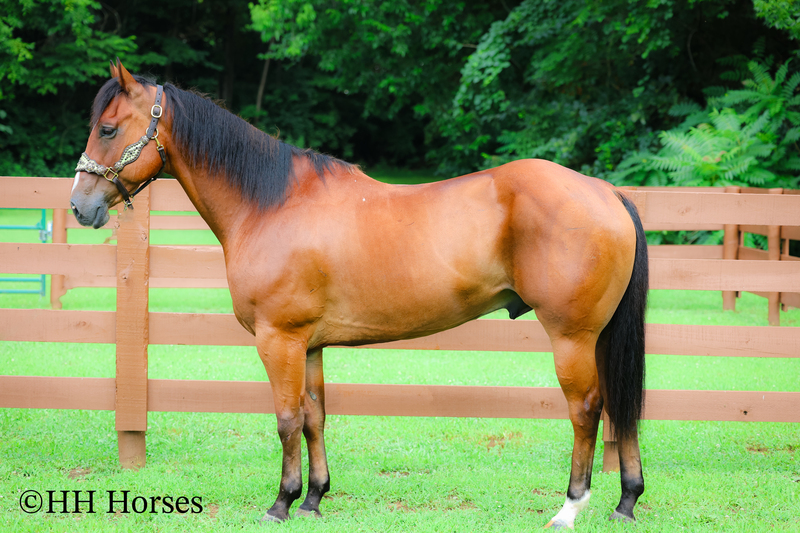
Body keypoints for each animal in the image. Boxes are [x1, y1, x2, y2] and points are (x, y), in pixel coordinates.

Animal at [70, 60, 648, 528]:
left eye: (108, 128)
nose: (79, 206)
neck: (272, 203)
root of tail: (606, 192)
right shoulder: (309, 345)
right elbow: (314, 416)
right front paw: (313, 498)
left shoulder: (278, 340)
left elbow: (286, 419)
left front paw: (280, 503)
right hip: (598, 337)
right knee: (621, 407)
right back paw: (626, 501)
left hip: (572, 336)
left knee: (587, 409)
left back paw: (570, 508)